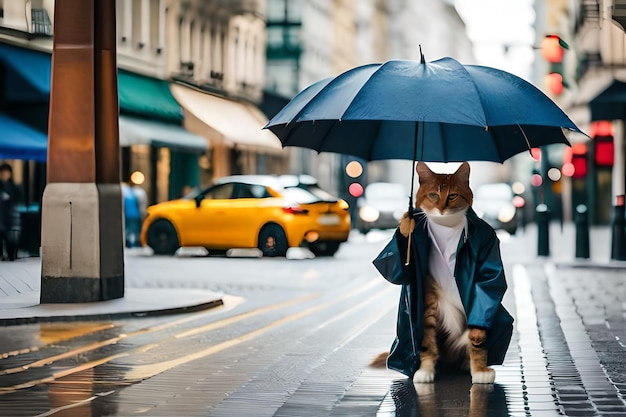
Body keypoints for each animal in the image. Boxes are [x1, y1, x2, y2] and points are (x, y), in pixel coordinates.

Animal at [370, 162, 508, 384]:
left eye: (452, 196)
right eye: (434, 195)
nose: (442, 209)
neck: (446, 226)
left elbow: (486, 294)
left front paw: (479, 369)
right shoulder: (428, 300)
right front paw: (425, 371)